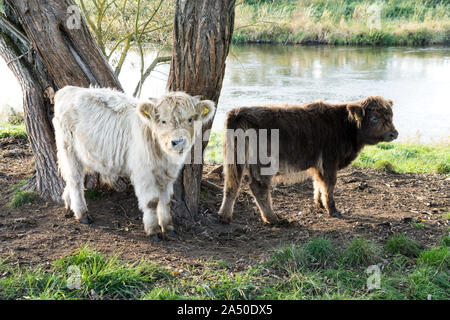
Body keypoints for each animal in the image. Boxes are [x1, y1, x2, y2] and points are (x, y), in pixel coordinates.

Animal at [52, 86, 214, 236]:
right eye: (163, 120)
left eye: (190, 119)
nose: (178, 142)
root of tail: (69, 89)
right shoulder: (144, 173)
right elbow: (152, 202)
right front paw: (153, 230)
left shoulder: (167, 174)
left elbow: (166, 201)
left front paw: (168, 228)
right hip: (68, 149)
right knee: (75, 180)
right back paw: (82, 214)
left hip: (84, 153)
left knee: (72, 180)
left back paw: (69, 204)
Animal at [218, 96, 398, 224]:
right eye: (374, 118)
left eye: (390, 115)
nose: (394, 133)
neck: (345, 126)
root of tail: (239, 112)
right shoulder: (329, 162)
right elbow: (329, 186)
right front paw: (332, 210)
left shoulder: (318, 165)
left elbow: (318, 184)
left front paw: (319, 204)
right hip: (263, 164)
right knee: (259, 188)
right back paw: (272, 219)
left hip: (234, 161)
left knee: (231, 185)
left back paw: (224, 216)